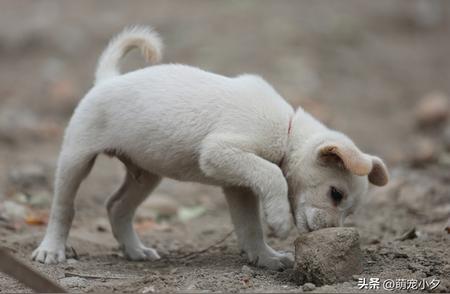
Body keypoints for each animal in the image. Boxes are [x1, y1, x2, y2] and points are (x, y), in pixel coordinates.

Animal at [31, 26, 388, 270]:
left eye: (348, 210)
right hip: (76, 159)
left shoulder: (238, 186)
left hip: (145, 175)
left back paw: (135, 250)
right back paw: (51, 249)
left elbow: (249, 228)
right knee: (63, 208)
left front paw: (266, 258)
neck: (287, 132)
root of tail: (107, 80)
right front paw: (279, 221)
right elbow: (273, 176)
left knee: (117, 207)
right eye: (335, 194)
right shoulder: (218, 153)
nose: (330, 234)